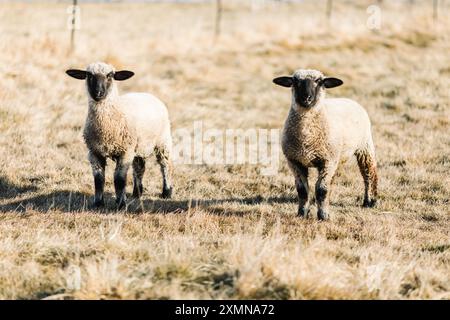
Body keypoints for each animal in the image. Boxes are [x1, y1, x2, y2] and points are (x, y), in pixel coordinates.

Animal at [66, 62, 173, 210]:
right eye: (89, 75)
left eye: (110, 75)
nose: (98, 93)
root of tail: (146, 94)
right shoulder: (94, 152)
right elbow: (98, 180)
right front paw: (98, 203)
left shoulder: (125, 152)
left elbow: (119, 179)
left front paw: (121, 204)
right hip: (138, 145)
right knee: (139, 167)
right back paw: (137, 193)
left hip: (163, 141)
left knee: (165, 165)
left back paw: (167, 192)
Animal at [272, 69, 378, 220]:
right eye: (295, 81)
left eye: (319, 81)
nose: (307, 98)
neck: (307, 137)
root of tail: (348, 99)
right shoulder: (294, 161)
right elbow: (302, 190)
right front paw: (302, 213)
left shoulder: (327, 161)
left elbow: (322, 189)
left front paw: (323, 216)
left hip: (364, 146)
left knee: (369, 173)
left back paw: (370, 201)